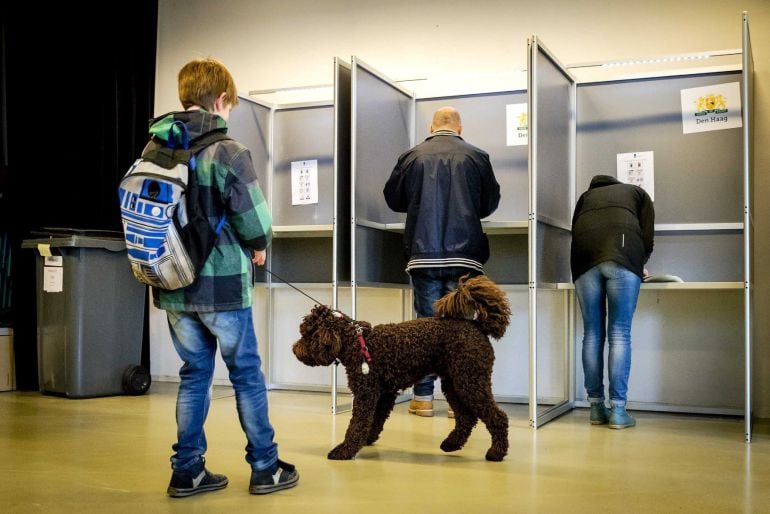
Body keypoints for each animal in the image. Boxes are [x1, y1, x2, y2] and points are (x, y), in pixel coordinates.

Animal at [292, 276, 510, 460]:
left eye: (306, 334)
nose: (295, 350)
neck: (356, 341)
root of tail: (478, 326)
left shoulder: (366, 392)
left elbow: (358, 424)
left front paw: (345, 450)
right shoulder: (384, 394)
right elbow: (375, 420)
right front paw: (368, 439)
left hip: (471, 381)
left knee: (498, 417)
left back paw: (496, 452)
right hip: (454, 383)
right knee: (466, 417)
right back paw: (451, 444)